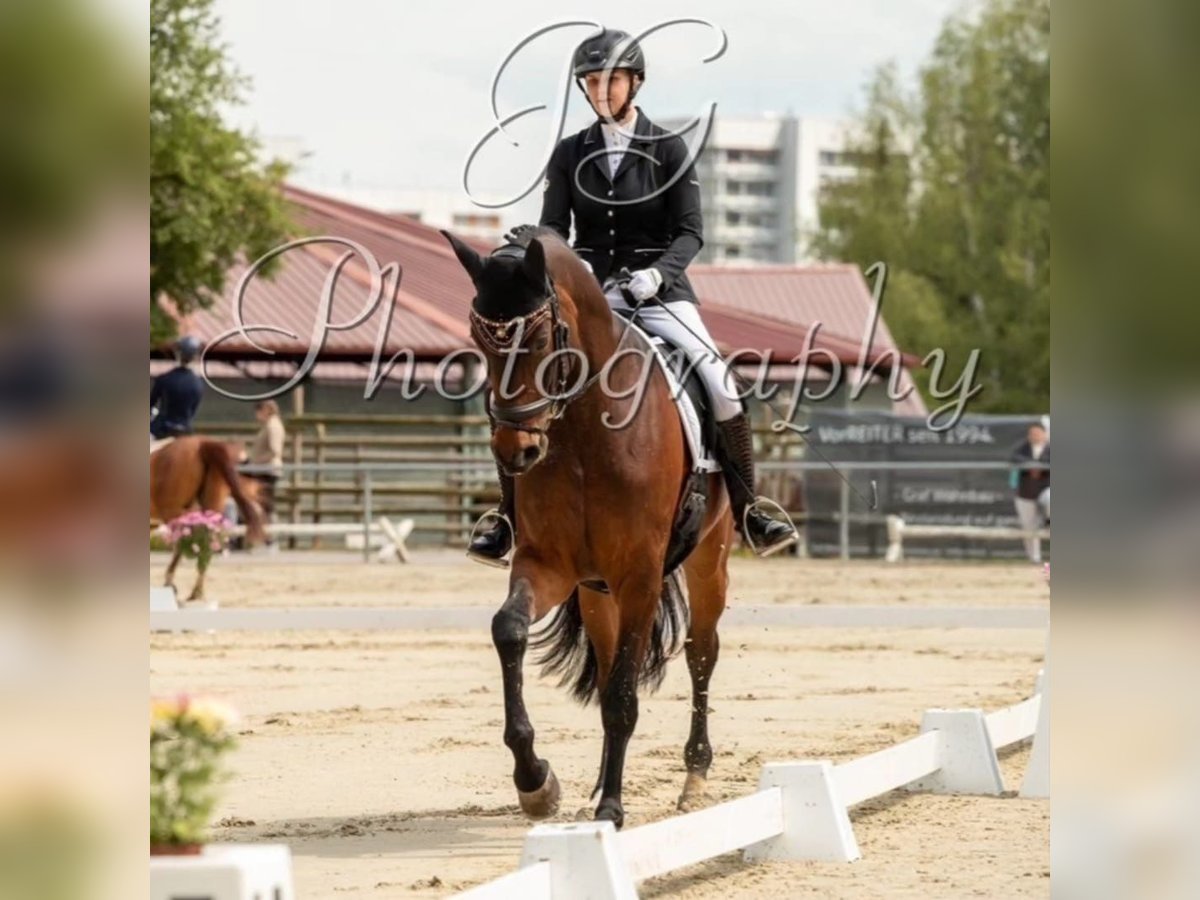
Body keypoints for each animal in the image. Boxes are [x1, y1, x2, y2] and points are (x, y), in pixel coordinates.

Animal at [148, 434, 264, 602]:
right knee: (206, 542)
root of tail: (202, 443)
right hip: (210, 508)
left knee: (187, 541)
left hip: (174, 511)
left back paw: (173, 584)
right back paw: (196, 591)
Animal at [446, 229, 734, 830]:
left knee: (700, 652)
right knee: (603, 670)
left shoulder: (640, 575)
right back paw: (600, 781)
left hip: (708, 561)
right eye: (479, 340)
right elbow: (509, 631)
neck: (585, 428)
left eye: (538, 338)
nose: (515, 451)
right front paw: (537, 782)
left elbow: (624, 694)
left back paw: (694, 777)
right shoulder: (547, 565)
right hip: (595, 591)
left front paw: (612, 810)